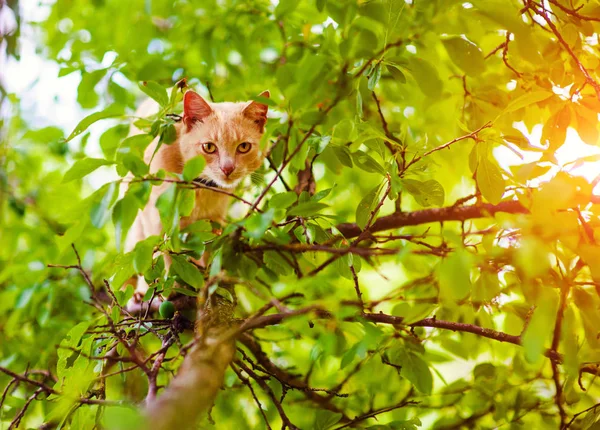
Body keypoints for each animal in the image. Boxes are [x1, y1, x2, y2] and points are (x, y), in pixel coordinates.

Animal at [124, 90, 270, 312]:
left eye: (244, 147)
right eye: (209, 147)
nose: (228, 168)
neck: (200, 189)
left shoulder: (214, 218)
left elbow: (209, 248)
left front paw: (209, 279)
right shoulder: (156, 215)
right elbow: (162, 251)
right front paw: (168, 287)